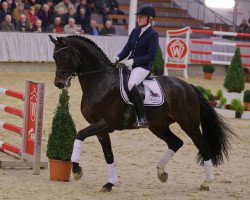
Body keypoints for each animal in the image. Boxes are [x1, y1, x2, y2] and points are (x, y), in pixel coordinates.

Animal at [48, 34, 232, 192]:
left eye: (64, 57)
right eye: (54, 57)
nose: (59, 84)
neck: (101, 82)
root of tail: (189, 87)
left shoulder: (106, 123)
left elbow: (79, 135)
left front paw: (77, 169)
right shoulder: (101, 128)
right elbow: (108, 154)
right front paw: (110, 183)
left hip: (189, 124)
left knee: (204, 146)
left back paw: (206, 182)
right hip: (158, 126)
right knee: (175, 142)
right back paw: (161, 172)